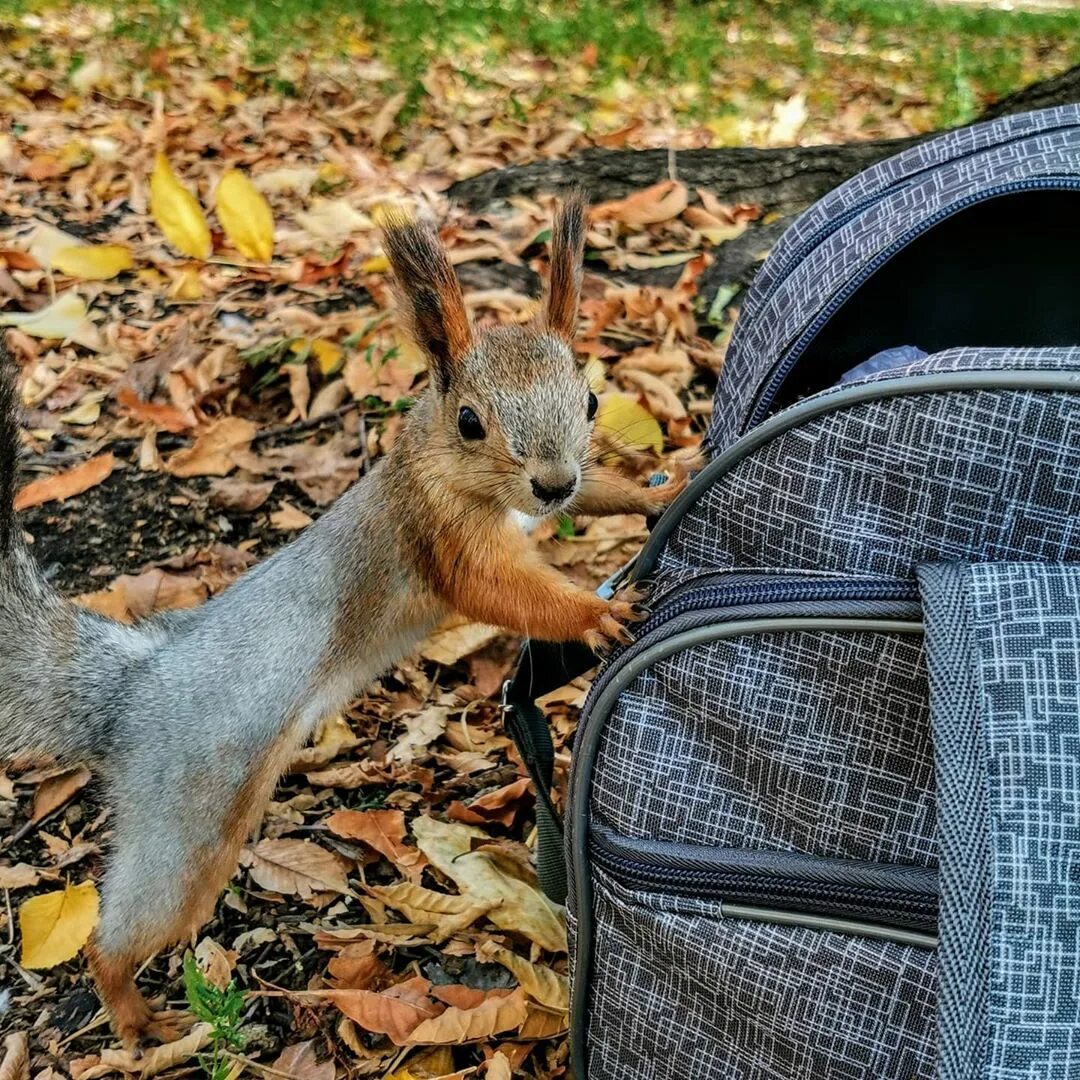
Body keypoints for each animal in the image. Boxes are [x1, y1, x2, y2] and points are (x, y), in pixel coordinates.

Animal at [0, 196, 686, 1054]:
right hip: (187, 813)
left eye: (590, 402)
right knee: (124, 928)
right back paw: (135, 1016)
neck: (440, 462)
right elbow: (497, 590)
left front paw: (662, 487)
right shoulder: (439, 531)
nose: (551, 481)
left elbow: (597, 494)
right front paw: (597, 613)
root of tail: (132, 686)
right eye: (469, 421)